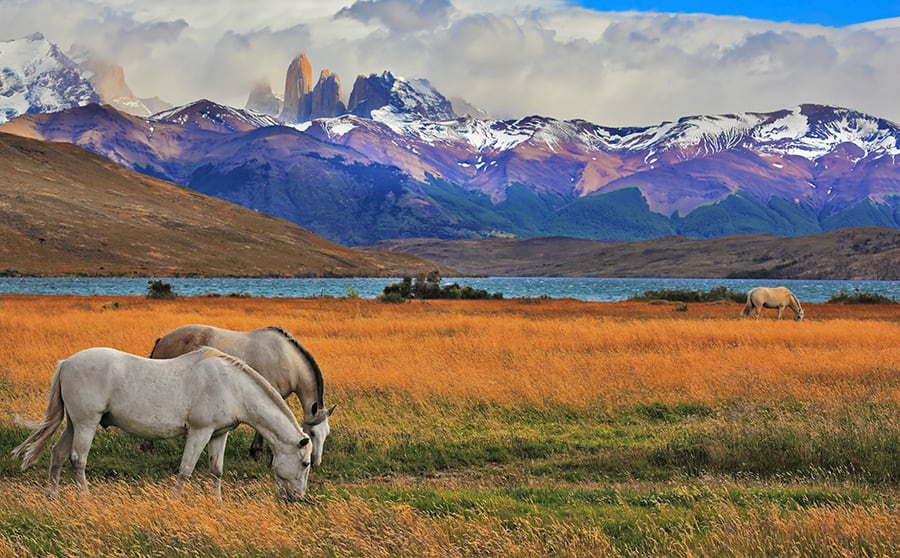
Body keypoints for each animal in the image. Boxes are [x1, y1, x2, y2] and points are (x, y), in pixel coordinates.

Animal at [8, 348, 312, 500]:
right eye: (306, 463)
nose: (297, 499)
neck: (232, 386)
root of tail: (67, 363)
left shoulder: (218, 435)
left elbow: (216, 471)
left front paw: (217, 503)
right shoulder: (199, 433)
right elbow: (186, 470)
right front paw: (175, 502)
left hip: (73, 423)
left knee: (58, 454)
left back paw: (52, 497)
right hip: (86, 422)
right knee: (77, 459)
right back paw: (85, 498)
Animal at [149, 324, 336, 468]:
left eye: (326, 433)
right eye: (312, 433)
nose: (316, 462)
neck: (287, 359)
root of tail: (163, 340)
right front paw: (259, 452)